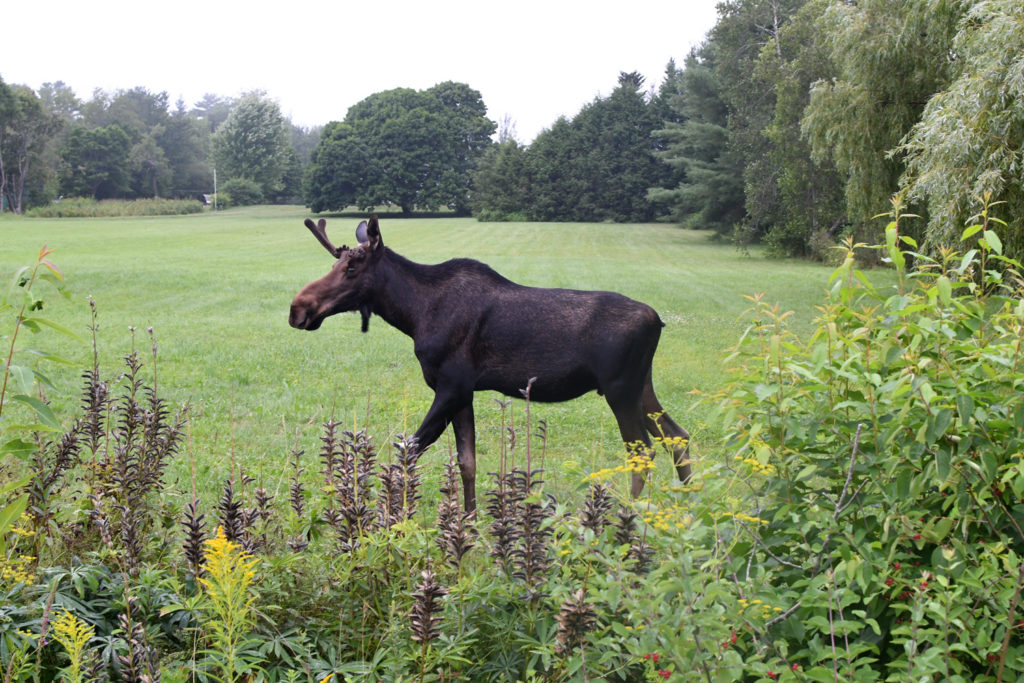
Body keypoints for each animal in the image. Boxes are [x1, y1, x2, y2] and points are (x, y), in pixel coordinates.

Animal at [289, 215, 691, 512]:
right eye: (336, 262)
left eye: (353, 267)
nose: (298, 309)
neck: (414, 314)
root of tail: (658, 320)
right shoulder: (463, 391)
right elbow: (466, 461)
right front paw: (468, 522)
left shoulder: (451, 385)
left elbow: (409, 450)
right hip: (641, 385)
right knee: (678, 436)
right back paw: (688, 505)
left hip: (620, 388)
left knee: (643, 450)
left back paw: (628, 515)